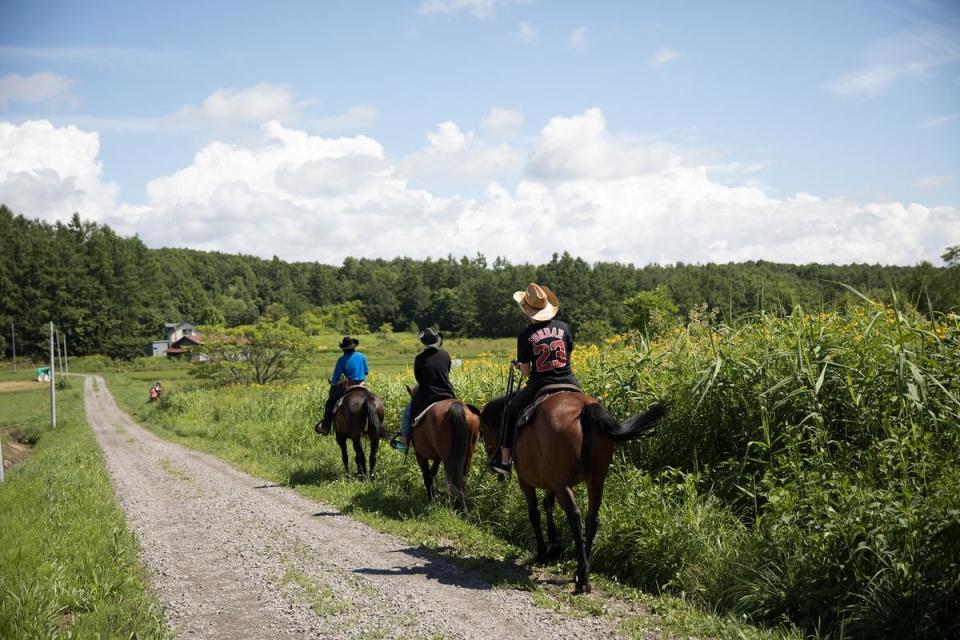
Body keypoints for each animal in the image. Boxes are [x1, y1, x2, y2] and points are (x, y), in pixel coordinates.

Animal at [478, 390, 668, 596]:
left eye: (482, 432)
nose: (493, 465)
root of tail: (586, 409)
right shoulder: (553, 482)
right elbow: (548, 505)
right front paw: (554, 546)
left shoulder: (527, 481)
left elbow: (534, 513)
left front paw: (543, 553)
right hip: (595, 479)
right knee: (592, 519)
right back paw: (582, 570)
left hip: (564, 484)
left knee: (575, 517)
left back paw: (582, 578)